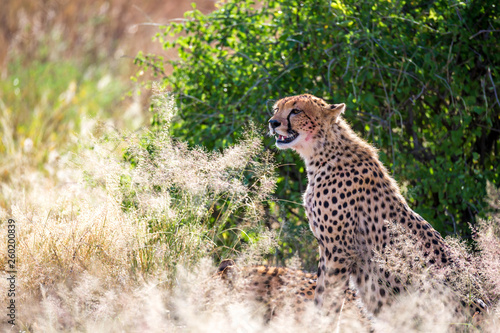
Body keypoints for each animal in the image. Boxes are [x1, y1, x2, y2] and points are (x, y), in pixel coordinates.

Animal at [268, 94, 486, 318]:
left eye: (296, 111)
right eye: (276, 109)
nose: (272, 122)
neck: (321, 153)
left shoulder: (340, 250)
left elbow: (329, 300)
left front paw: (321, 321)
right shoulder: (326, 248)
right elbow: (320, 293)